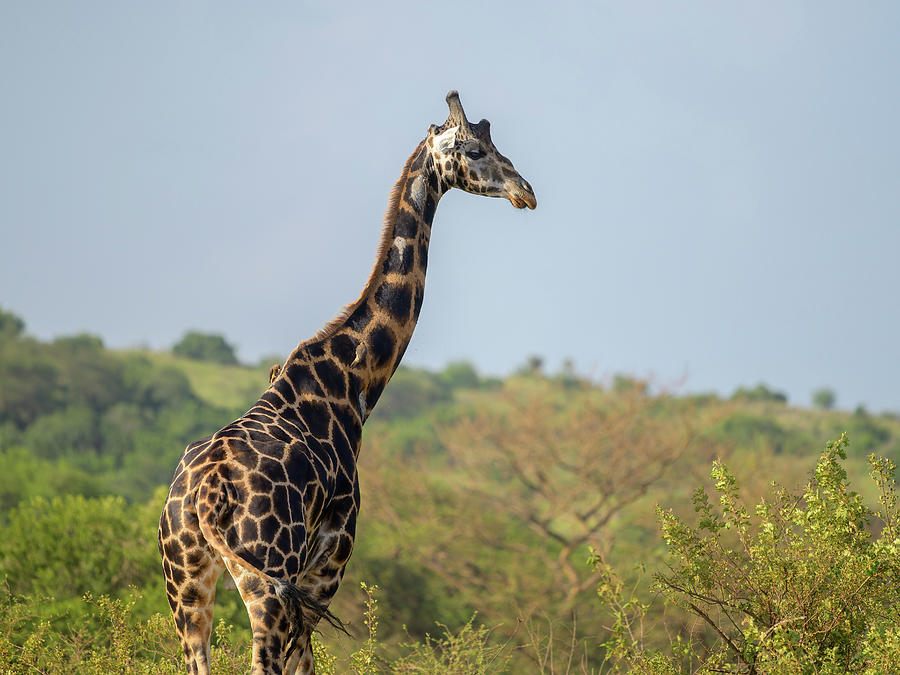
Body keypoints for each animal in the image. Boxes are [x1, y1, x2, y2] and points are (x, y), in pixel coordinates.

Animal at [158, 91, 536, 675]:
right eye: (475, 150)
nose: (526, 192)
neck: (356, 377)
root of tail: (202, 497)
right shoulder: (329, 557)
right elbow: (304, 662)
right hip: (266, 578)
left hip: (186, 582)